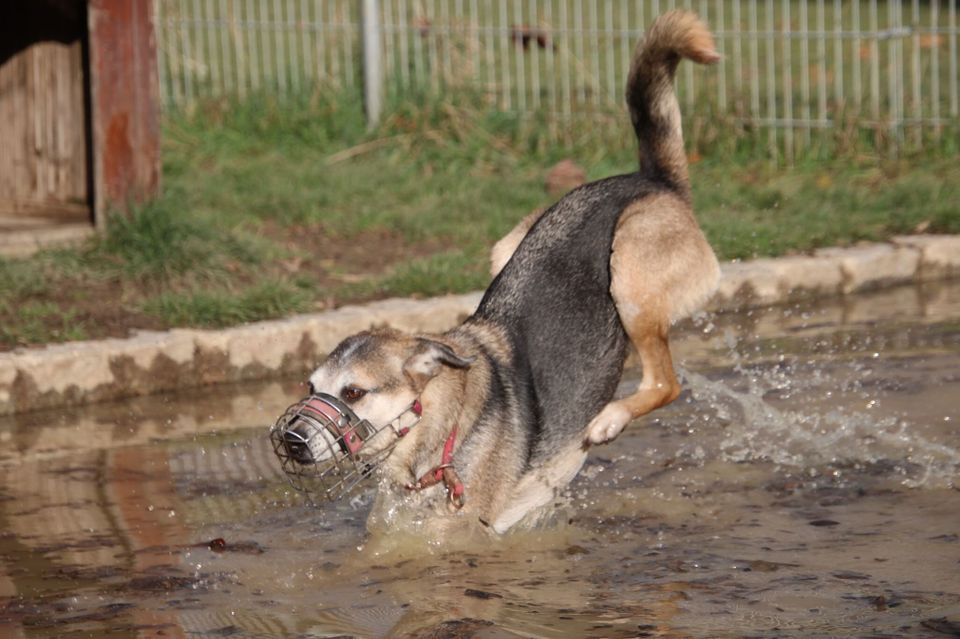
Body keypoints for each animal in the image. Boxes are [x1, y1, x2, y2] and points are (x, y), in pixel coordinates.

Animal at [300, 12, 720, 536]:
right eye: (311, 388)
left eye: (353, 392)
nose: (293, 440)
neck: (444, 428)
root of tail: (652, 180)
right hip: (507, 246)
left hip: (630, 274)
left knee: (667, 382)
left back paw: (610, 419)